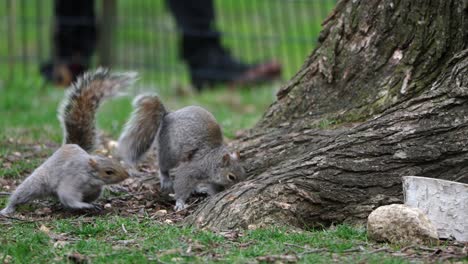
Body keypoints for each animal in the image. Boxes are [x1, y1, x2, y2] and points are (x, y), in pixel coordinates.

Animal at [0, 69, 135, 216]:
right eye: (108, 172)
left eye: (116, 162)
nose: (127, 175)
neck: (91, 176)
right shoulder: (73, 180)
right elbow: (68, 196)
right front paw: (84, 205)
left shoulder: (95, 189)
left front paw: (90, 204)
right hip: (37, 183)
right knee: (23, 192)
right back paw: (9, 208)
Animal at [119, 94, 247, 211]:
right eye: (231, 177)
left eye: (243, 172)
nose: (240, 184)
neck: (211, 158)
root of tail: (168, 115)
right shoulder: (193, 167)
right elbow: (182, 180)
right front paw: (180, 202)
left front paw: (214, 193)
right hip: (170, 150)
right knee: (163, 165)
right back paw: (166, 179)